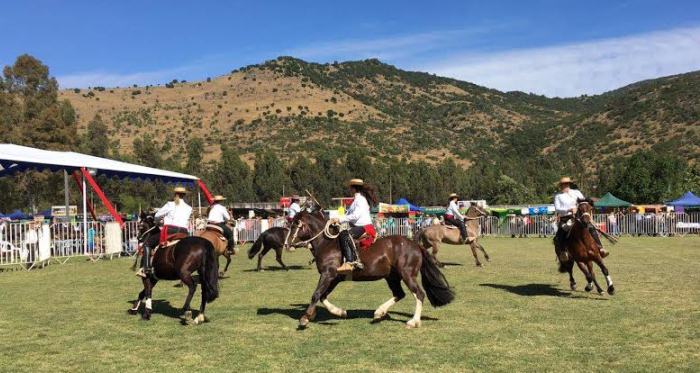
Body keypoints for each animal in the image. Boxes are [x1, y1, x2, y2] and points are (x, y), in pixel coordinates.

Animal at [288, 209, 454, 328]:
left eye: (296, 224)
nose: (287, 244)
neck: (327, 243)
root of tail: (416, 245)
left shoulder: (328, 274)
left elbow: (316, 294)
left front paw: (305, 318)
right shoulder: (334, 277)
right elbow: (323, 296)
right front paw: (339, 312)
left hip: (407, 274)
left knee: (419, 294)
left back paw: (413, 321)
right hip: (392, 277)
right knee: (399, 294)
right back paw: (379, 313)